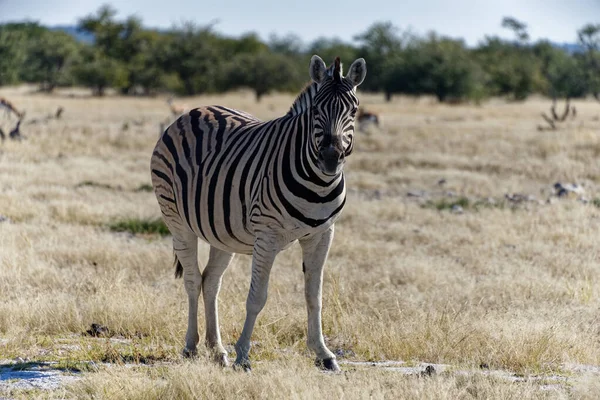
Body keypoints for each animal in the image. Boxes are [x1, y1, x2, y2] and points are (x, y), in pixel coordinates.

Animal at [150, 54, 366, 372]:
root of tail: (194, 110)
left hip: (220, 230)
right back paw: (191, 346)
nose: (330, 157)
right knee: (192, 281)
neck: (318, 182)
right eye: (316, 109)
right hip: (177, 221)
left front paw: (324, 354)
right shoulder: (267, 234)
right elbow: (257, 297)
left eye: (354, 110)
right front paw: (243, 355)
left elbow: (314, 296)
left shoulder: (323, 234)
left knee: (210, 282)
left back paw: (217, 350)